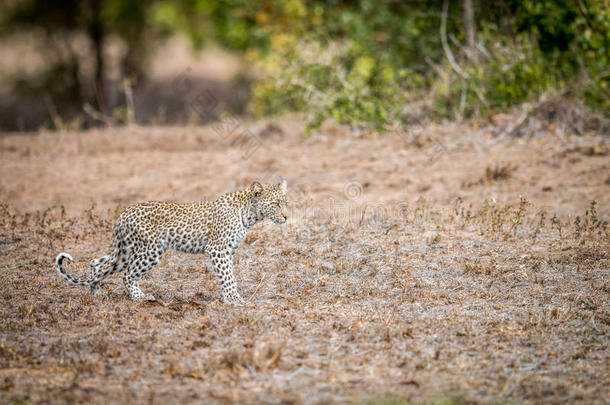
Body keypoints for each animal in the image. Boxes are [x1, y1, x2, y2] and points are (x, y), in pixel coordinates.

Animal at [54, 180, 288, 304]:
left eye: (286, 202)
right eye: (276, 204)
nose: (286, 216)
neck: (249, 214)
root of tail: (122, 214)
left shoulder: (227, 251)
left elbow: (225, 275)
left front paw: (226, 298)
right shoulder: (218, 249)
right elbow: (228, 277)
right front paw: (235, 299)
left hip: (127, 251)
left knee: (97, 263)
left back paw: (96, 294)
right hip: (150, 251)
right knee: (128, 275)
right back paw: (141, 297)